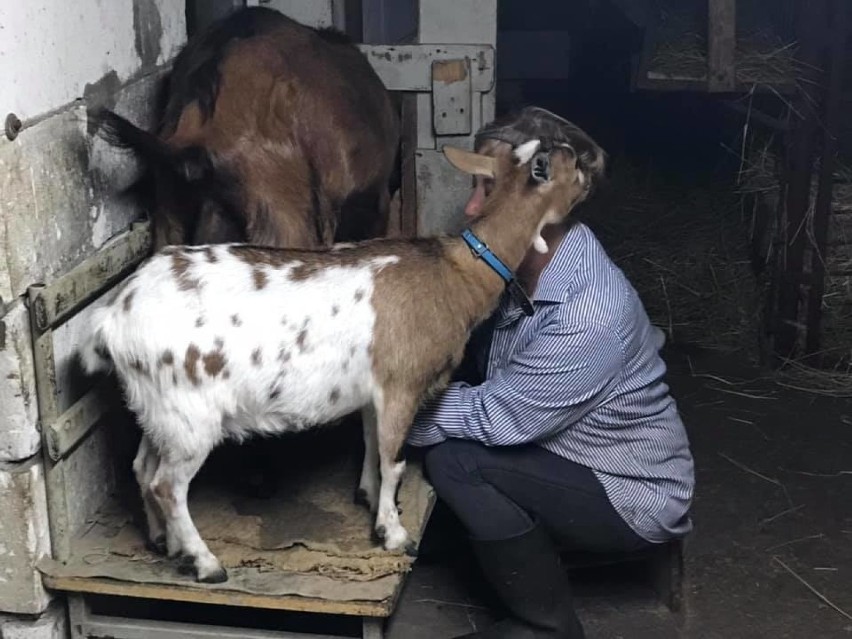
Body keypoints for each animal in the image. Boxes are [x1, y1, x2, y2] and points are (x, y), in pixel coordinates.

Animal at [78, 131, 604, 584]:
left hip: (158, 408)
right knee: (168, 484)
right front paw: (394, 534)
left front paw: (368, 499)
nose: (593, 164)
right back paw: (205, 563)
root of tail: (113, 317)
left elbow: (372, 445)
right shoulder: (401, 384)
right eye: (558, 164)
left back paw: (164, 543)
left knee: (143, 469)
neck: (457, 275)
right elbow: (395, 460)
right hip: (190, 412)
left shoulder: (373, 391)